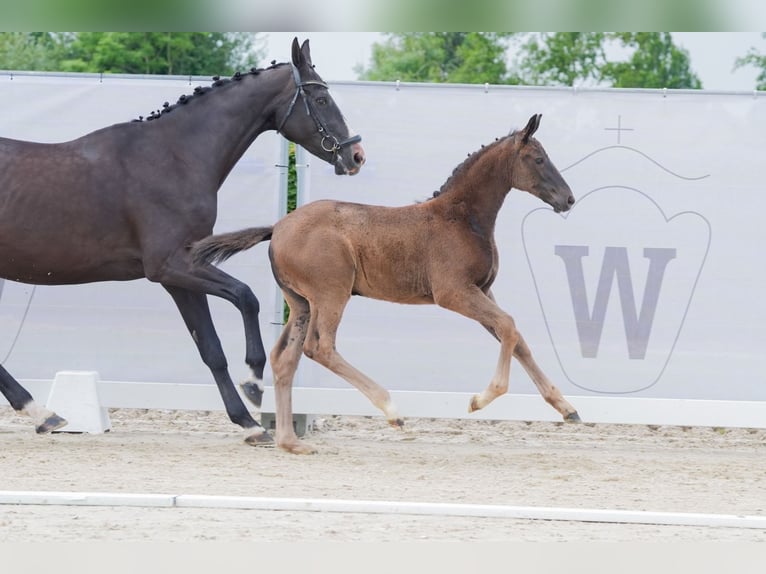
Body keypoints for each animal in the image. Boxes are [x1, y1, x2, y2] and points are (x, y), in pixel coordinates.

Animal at [0, 37, 366, 446]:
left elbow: (211, 349)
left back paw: (45, 414)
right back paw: (43, 413)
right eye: (320, 99)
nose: (355, 155)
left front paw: (249, 423)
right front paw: (254, 384)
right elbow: (246, 297)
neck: (176, 158)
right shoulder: (171, 267)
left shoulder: (181, 276)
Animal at [194, 112, 584, 454]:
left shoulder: (483, 290)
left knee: (284, 359)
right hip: (331, 293)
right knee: (320, 348)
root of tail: (277, 228)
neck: (461, 218)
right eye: (538, 159)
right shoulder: (454, 293)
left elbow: (516, 338)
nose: (568, 199)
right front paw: (480, 399)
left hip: (302, 303)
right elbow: (508, 326)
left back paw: (291, 442)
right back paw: (392, 411)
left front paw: (567, 409)